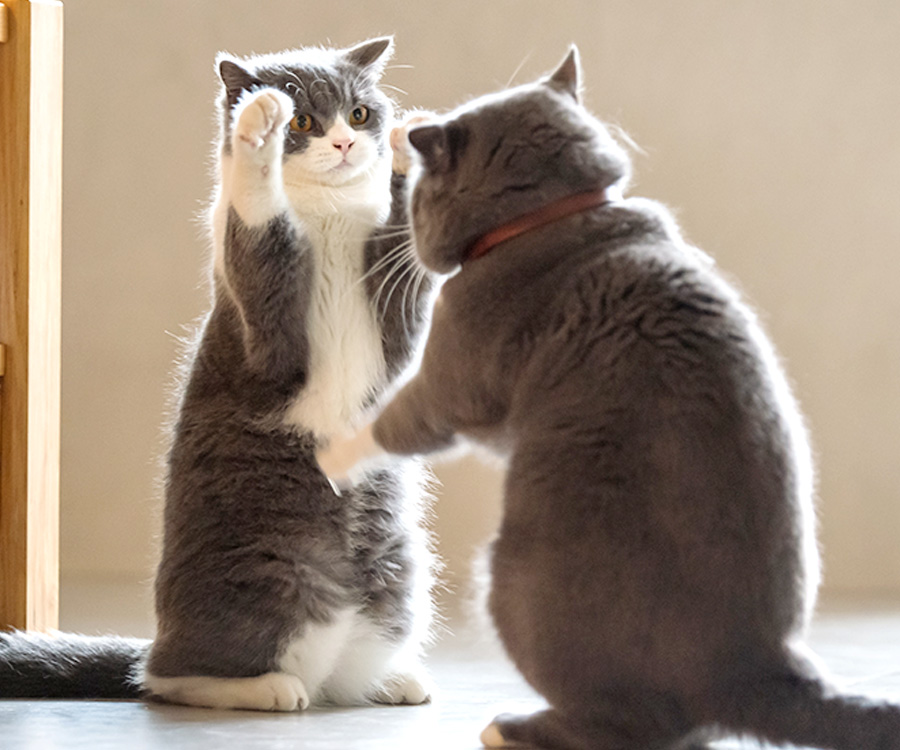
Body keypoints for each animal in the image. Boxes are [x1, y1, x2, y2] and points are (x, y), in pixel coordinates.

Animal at [0, 38, 438, 712]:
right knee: (168, 676)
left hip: (398, 579)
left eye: (360, 113)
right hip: (260, 576)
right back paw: (265, 687)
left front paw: (413, 144)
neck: (330, 216)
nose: (343, 143)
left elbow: (406, 254)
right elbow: (256, 223)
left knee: (346, 671)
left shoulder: (394, 309)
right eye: (304, 122)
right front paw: (258, 125)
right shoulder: (263, 317)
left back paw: (389, 679)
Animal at [320, 48, 900, 750]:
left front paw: (329, 453)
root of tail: (759, 670)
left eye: (421, 195)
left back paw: (512, 727)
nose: (404, 143)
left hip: (511, 575)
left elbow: (399, 420)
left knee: (632, 723)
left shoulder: (455, 377)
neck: (560, 217)